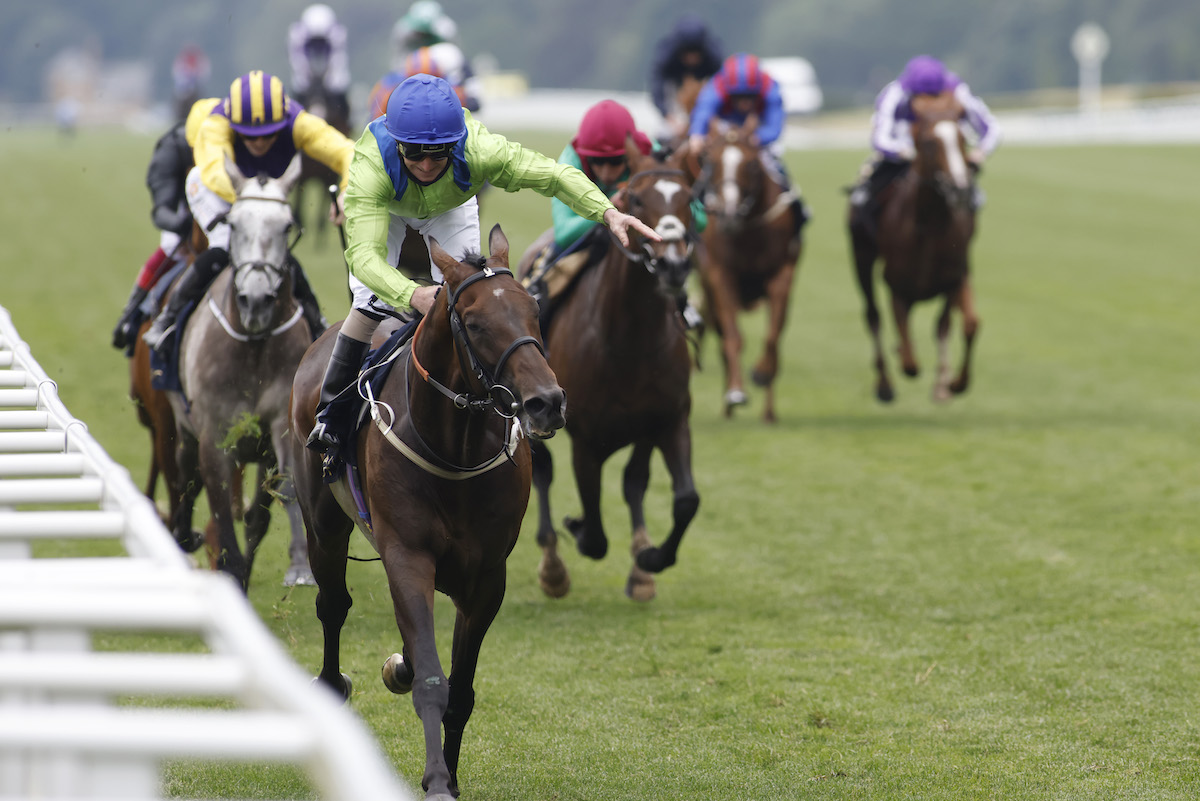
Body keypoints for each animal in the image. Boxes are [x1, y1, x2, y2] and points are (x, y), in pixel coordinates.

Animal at [288, 226, 564, 801]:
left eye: (534, 309)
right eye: (476, 323)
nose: (546, 402)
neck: (455, 448)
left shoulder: (486, 578)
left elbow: (460, 688)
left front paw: (451, 778)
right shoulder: (408, 556)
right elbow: (434, 682)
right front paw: (437, 780)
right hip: (324, 524)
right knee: (333, 604)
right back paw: (333, 684)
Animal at [518, 143, 700, 599]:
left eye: (690, 199)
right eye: (636, 199)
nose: (672, 266)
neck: (630, 341)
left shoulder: (670, 420)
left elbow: (684, 500)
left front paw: (650, 558)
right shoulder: (586, 439)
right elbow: (596, 533)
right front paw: (577, 528)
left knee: (634, 480)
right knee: (543, 470)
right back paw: (553, 568)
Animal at [686, 117, 806, 424]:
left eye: (751, 164)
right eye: (711, 161)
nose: (728, 214)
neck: (749, 231)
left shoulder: (782, 274)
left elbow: (773, 335)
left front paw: (762, 374)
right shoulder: (721, 275)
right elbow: (733, 337)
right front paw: (736, 392)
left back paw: (768, 412)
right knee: (721, 336)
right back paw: (728, 406)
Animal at [849, 91, 979, 402]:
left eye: (962, 137)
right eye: (930, 142)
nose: (960, 188)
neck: (929, 225)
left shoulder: (954, 278)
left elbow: (951, 325)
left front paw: (948, 385)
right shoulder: (897, 284)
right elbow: (909, 359)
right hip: (861, 257)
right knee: (873, 315)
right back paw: (884, 384)